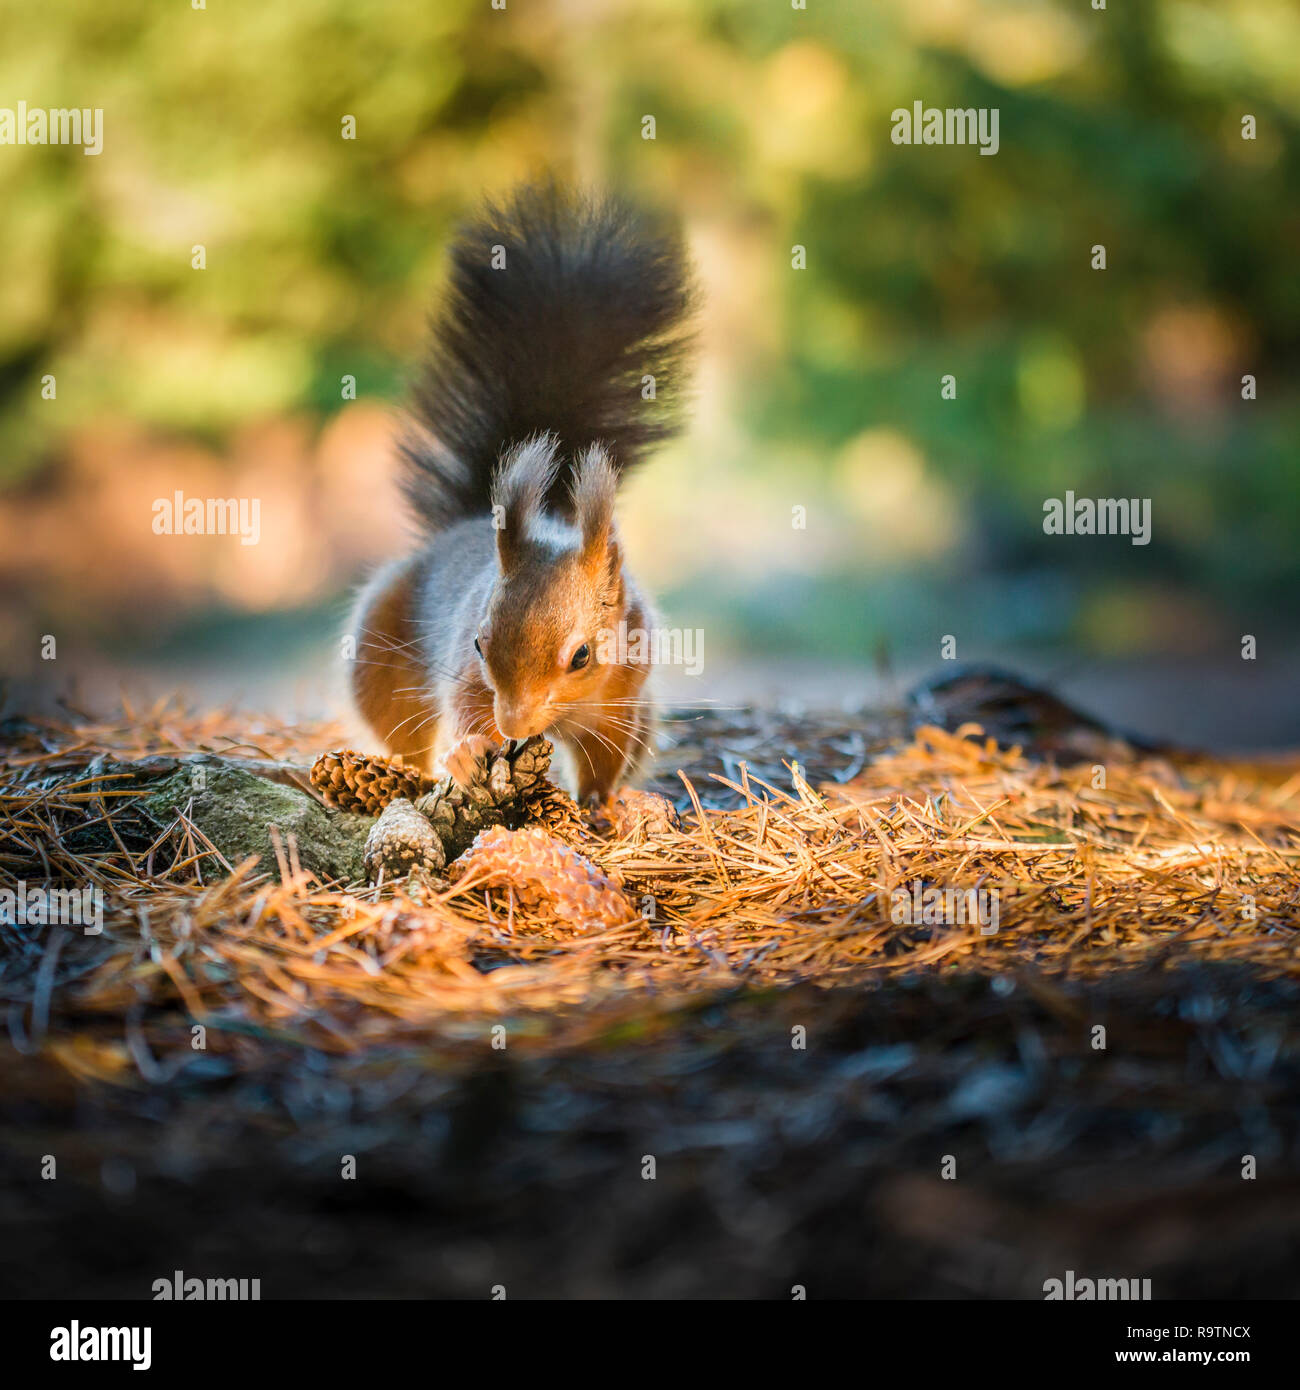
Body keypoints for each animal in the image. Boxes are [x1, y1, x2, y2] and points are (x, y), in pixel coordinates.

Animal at [346, 182, 692, 806]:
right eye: (480, 643)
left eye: (582, 656)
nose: (512, 727)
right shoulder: (465, 674)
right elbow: (463, 707)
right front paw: (465, 753)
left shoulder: (619, 700)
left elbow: (606, 755)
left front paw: (600, 805)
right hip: (377, 666)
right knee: (403, 736)